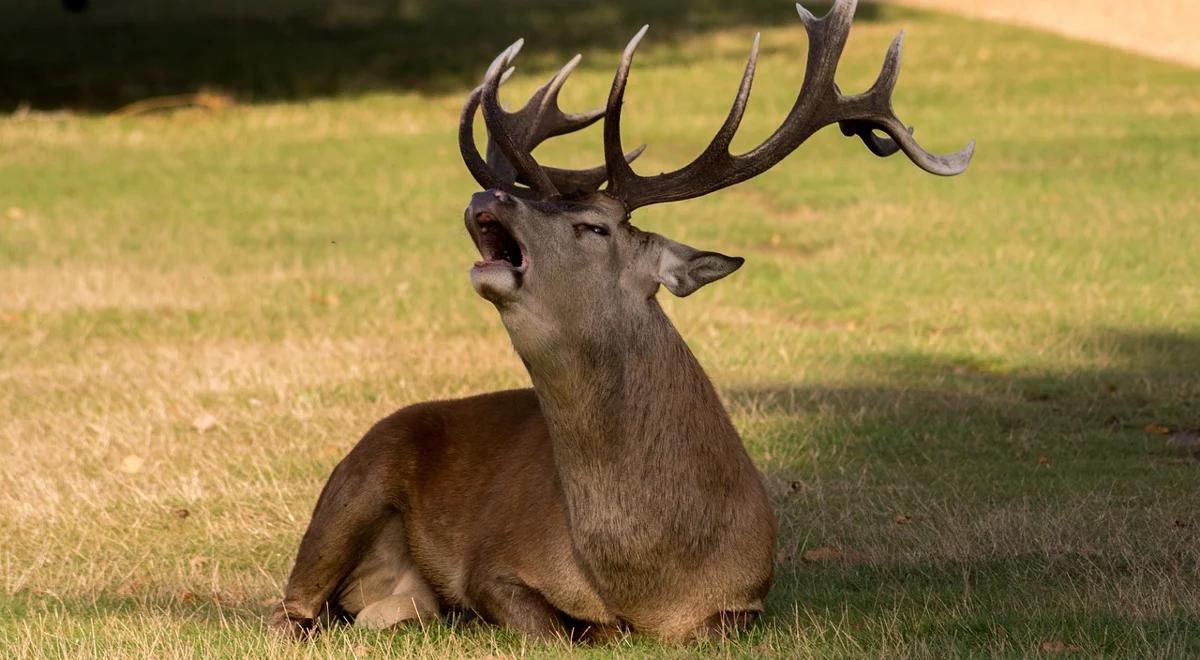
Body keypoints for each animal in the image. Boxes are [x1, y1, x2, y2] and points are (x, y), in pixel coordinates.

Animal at [267, 0, 969, 643]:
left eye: (593, 226)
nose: (488, 194)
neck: (649, 578)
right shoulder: (492, 564)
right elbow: (550, 624)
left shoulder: (747, 598)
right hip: (352, 485)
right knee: (291, 609)